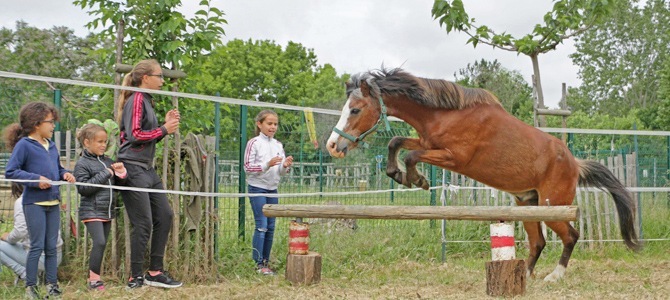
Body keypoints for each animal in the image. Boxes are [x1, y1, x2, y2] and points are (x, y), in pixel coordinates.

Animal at [328, 67, 644, 282]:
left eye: (355, 110)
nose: (333, 146)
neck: (447, 113)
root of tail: (575, 163)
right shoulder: (429, 143)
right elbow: (397, 143)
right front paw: (400, 175)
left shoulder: (453, 157)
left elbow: (409, 155)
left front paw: (416, 179)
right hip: (527, 204)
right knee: (538, 241)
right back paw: (525, 276)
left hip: (553, 206)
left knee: (571, 236)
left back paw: (554, 276)